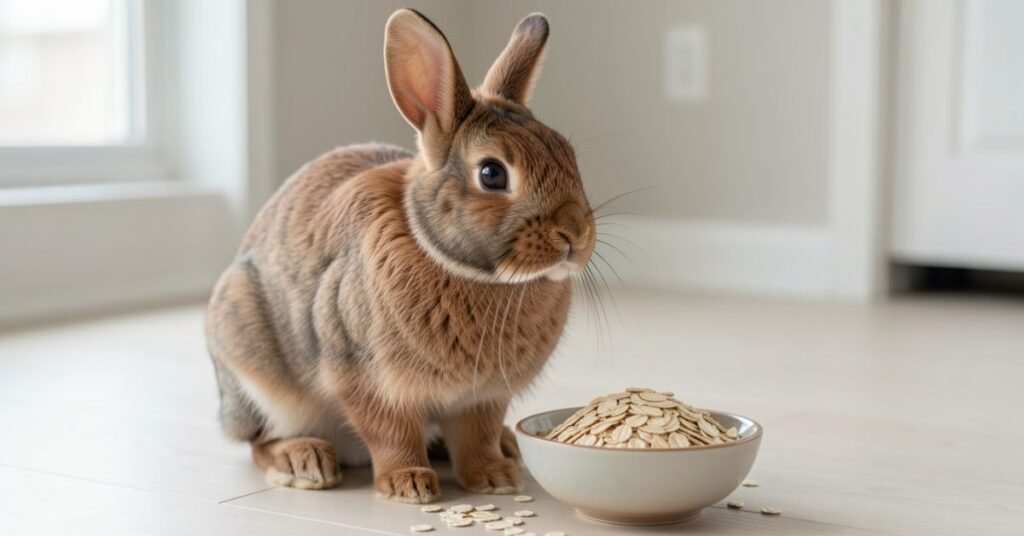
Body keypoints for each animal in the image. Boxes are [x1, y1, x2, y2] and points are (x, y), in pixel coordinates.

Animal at [205, 8, 594, 504]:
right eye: (492, 174)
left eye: (568, 155)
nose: (576, 235)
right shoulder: (366, 376)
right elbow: (390, 432)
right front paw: (407, 485)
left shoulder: (483, 396)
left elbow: (478, 435)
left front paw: (495, 478)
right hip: (256, 372)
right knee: (260, 440)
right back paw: (305, 462)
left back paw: (506, 447)